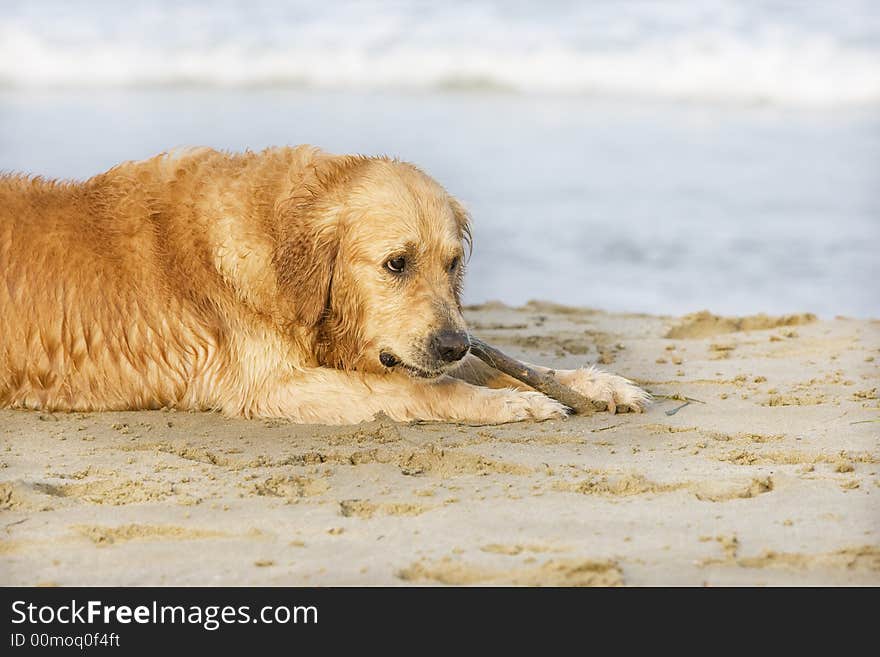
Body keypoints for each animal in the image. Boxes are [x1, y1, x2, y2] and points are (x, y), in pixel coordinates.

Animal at [0, 146, 648, 422]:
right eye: (396, 263)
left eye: (452, 264)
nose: (453, 344)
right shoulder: (271, 386)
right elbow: (421, 390)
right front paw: (512, 402)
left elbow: (483, 368)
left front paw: (595, 383)